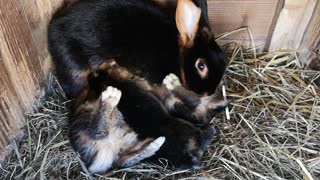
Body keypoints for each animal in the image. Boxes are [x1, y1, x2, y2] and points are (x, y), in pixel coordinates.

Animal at [48, 0, 228, 99]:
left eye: (224, 60)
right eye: (201, 66)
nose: (208, 92)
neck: (177, 55)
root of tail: (53, 29)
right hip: (75, 65)